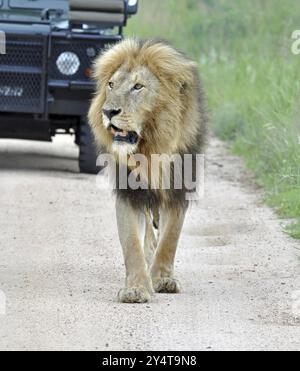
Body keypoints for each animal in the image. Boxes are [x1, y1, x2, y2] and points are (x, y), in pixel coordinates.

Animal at [88, 39, 207, 304]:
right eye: (111, 85)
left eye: (138, 87)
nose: (108, 112)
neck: (151, 150)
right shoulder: (128, 193)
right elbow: (131, 243)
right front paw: (136, 288)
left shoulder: (177, 191)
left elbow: (170, 238)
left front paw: (163, 279)